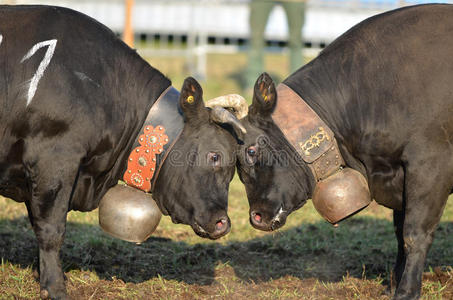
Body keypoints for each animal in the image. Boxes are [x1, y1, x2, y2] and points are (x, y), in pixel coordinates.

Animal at [237, 4, 452, 300]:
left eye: (252, 150)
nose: (256, 217)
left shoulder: (430, 165)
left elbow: (414, 233)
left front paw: (407, 291)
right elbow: (399, 232)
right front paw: (392, 284)